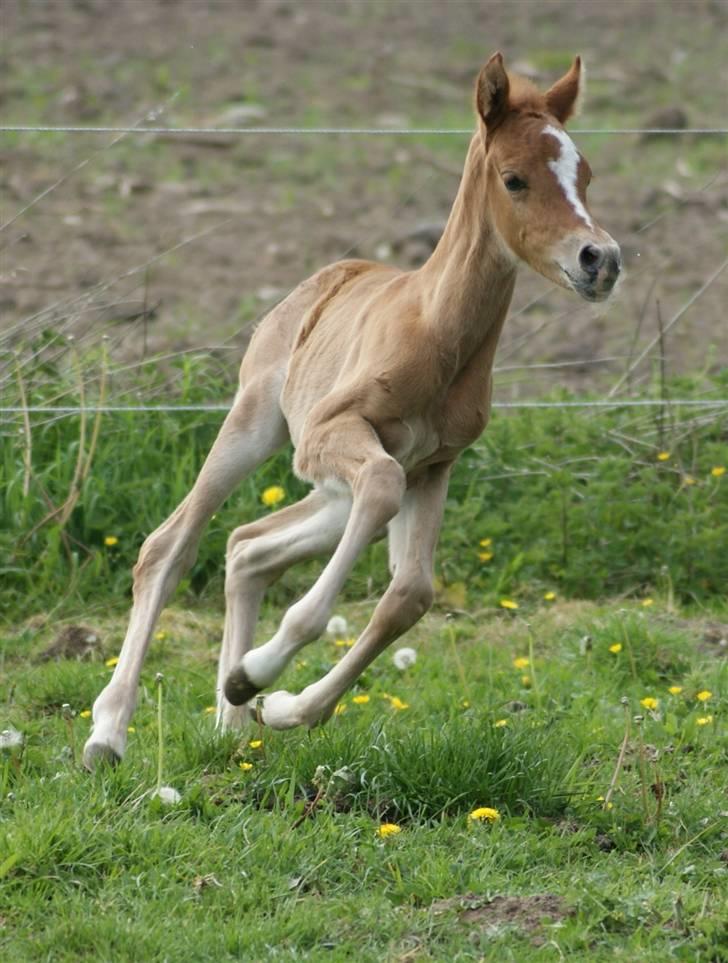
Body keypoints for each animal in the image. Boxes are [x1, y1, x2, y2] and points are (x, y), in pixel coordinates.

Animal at [84, 52, 620, 768]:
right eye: (514, 179)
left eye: (585, 175)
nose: (601, 260)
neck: (437, 334)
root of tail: (321, 280)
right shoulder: (335, 434)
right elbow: (366, 540)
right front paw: (260, 674)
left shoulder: (434, 465)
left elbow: (411, 592)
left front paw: (277, 699)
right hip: (257, 427)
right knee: (170, 546)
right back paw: (109, 732)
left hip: (336, 490)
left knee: (248, 545)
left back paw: (234, 720)